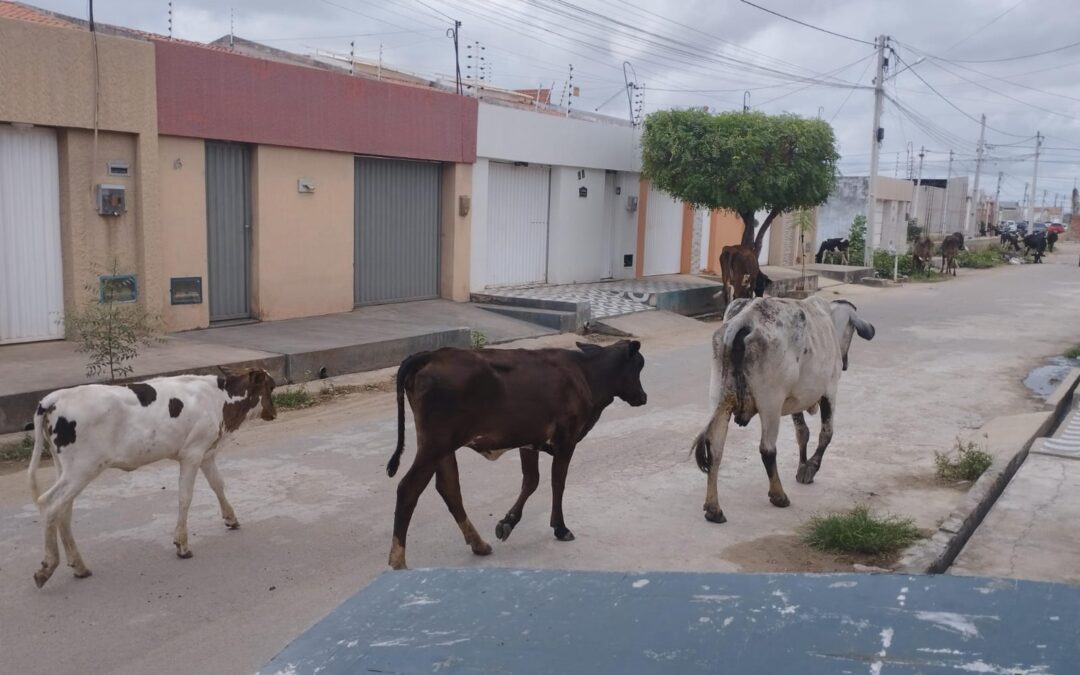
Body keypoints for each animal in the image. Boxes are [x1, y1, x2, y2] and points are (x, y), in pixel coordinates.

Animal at [29, 369, 276, 583]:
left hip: (66, 467)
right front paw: (182, 545)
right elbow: (185, 497)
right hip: (83, 468)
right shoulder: (192, 453)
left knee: (64, 510)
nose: (274, 413)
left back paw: (79, 566)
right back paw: (47, 567)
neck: (218, 397)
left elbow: (218, 484)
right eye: (271, 386)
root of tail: (53, 398)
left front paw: (231, 518)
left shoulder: (206, 453)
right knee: (50, 504)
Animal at [384, 341, 643, 570]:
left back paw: (479, 544)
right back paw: (398, 561)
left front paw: (507, 522)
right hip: (435, 445)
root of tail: (431, 355)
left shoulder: (529, 441)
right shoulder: (566, 439)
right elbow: (557, 483)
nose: (643, 397)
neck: (585, 373)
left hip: (442, 448)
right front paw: (560, 527)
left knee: (449, 489)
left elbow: (531, 481)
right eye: (639, 366)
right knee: (408, 489)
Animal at [691, 293, 876, 520]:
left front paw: (803, 466)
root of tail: (745, 320)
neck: (829, 319)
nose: (846, 363)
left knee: (715, 448)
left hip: (719, 398)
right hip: (771, 403)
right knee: (767, 449)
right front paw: (810, 468)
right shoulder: (830, 391)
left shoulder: (796, 400)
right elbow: (826, 434)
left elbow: (802, 433)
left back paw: (713, 508)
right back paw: (778, 495)